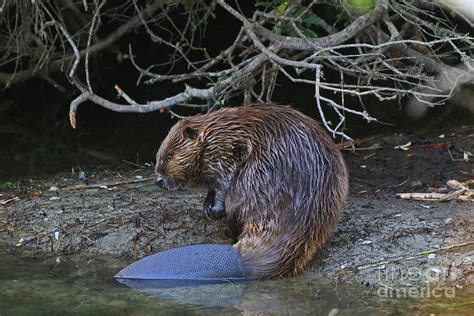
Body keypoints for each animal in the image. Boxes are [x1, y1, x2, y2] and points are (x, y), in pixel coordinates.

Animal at [154, 103, 350, 278]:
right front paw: (205, 207)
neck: (214, 133)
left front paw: (214, 210)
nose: (158, 181)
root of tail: (243, 261)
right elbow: (212, 187)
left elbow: (223, 181)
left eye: (170, 156)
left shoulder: (225, 150)